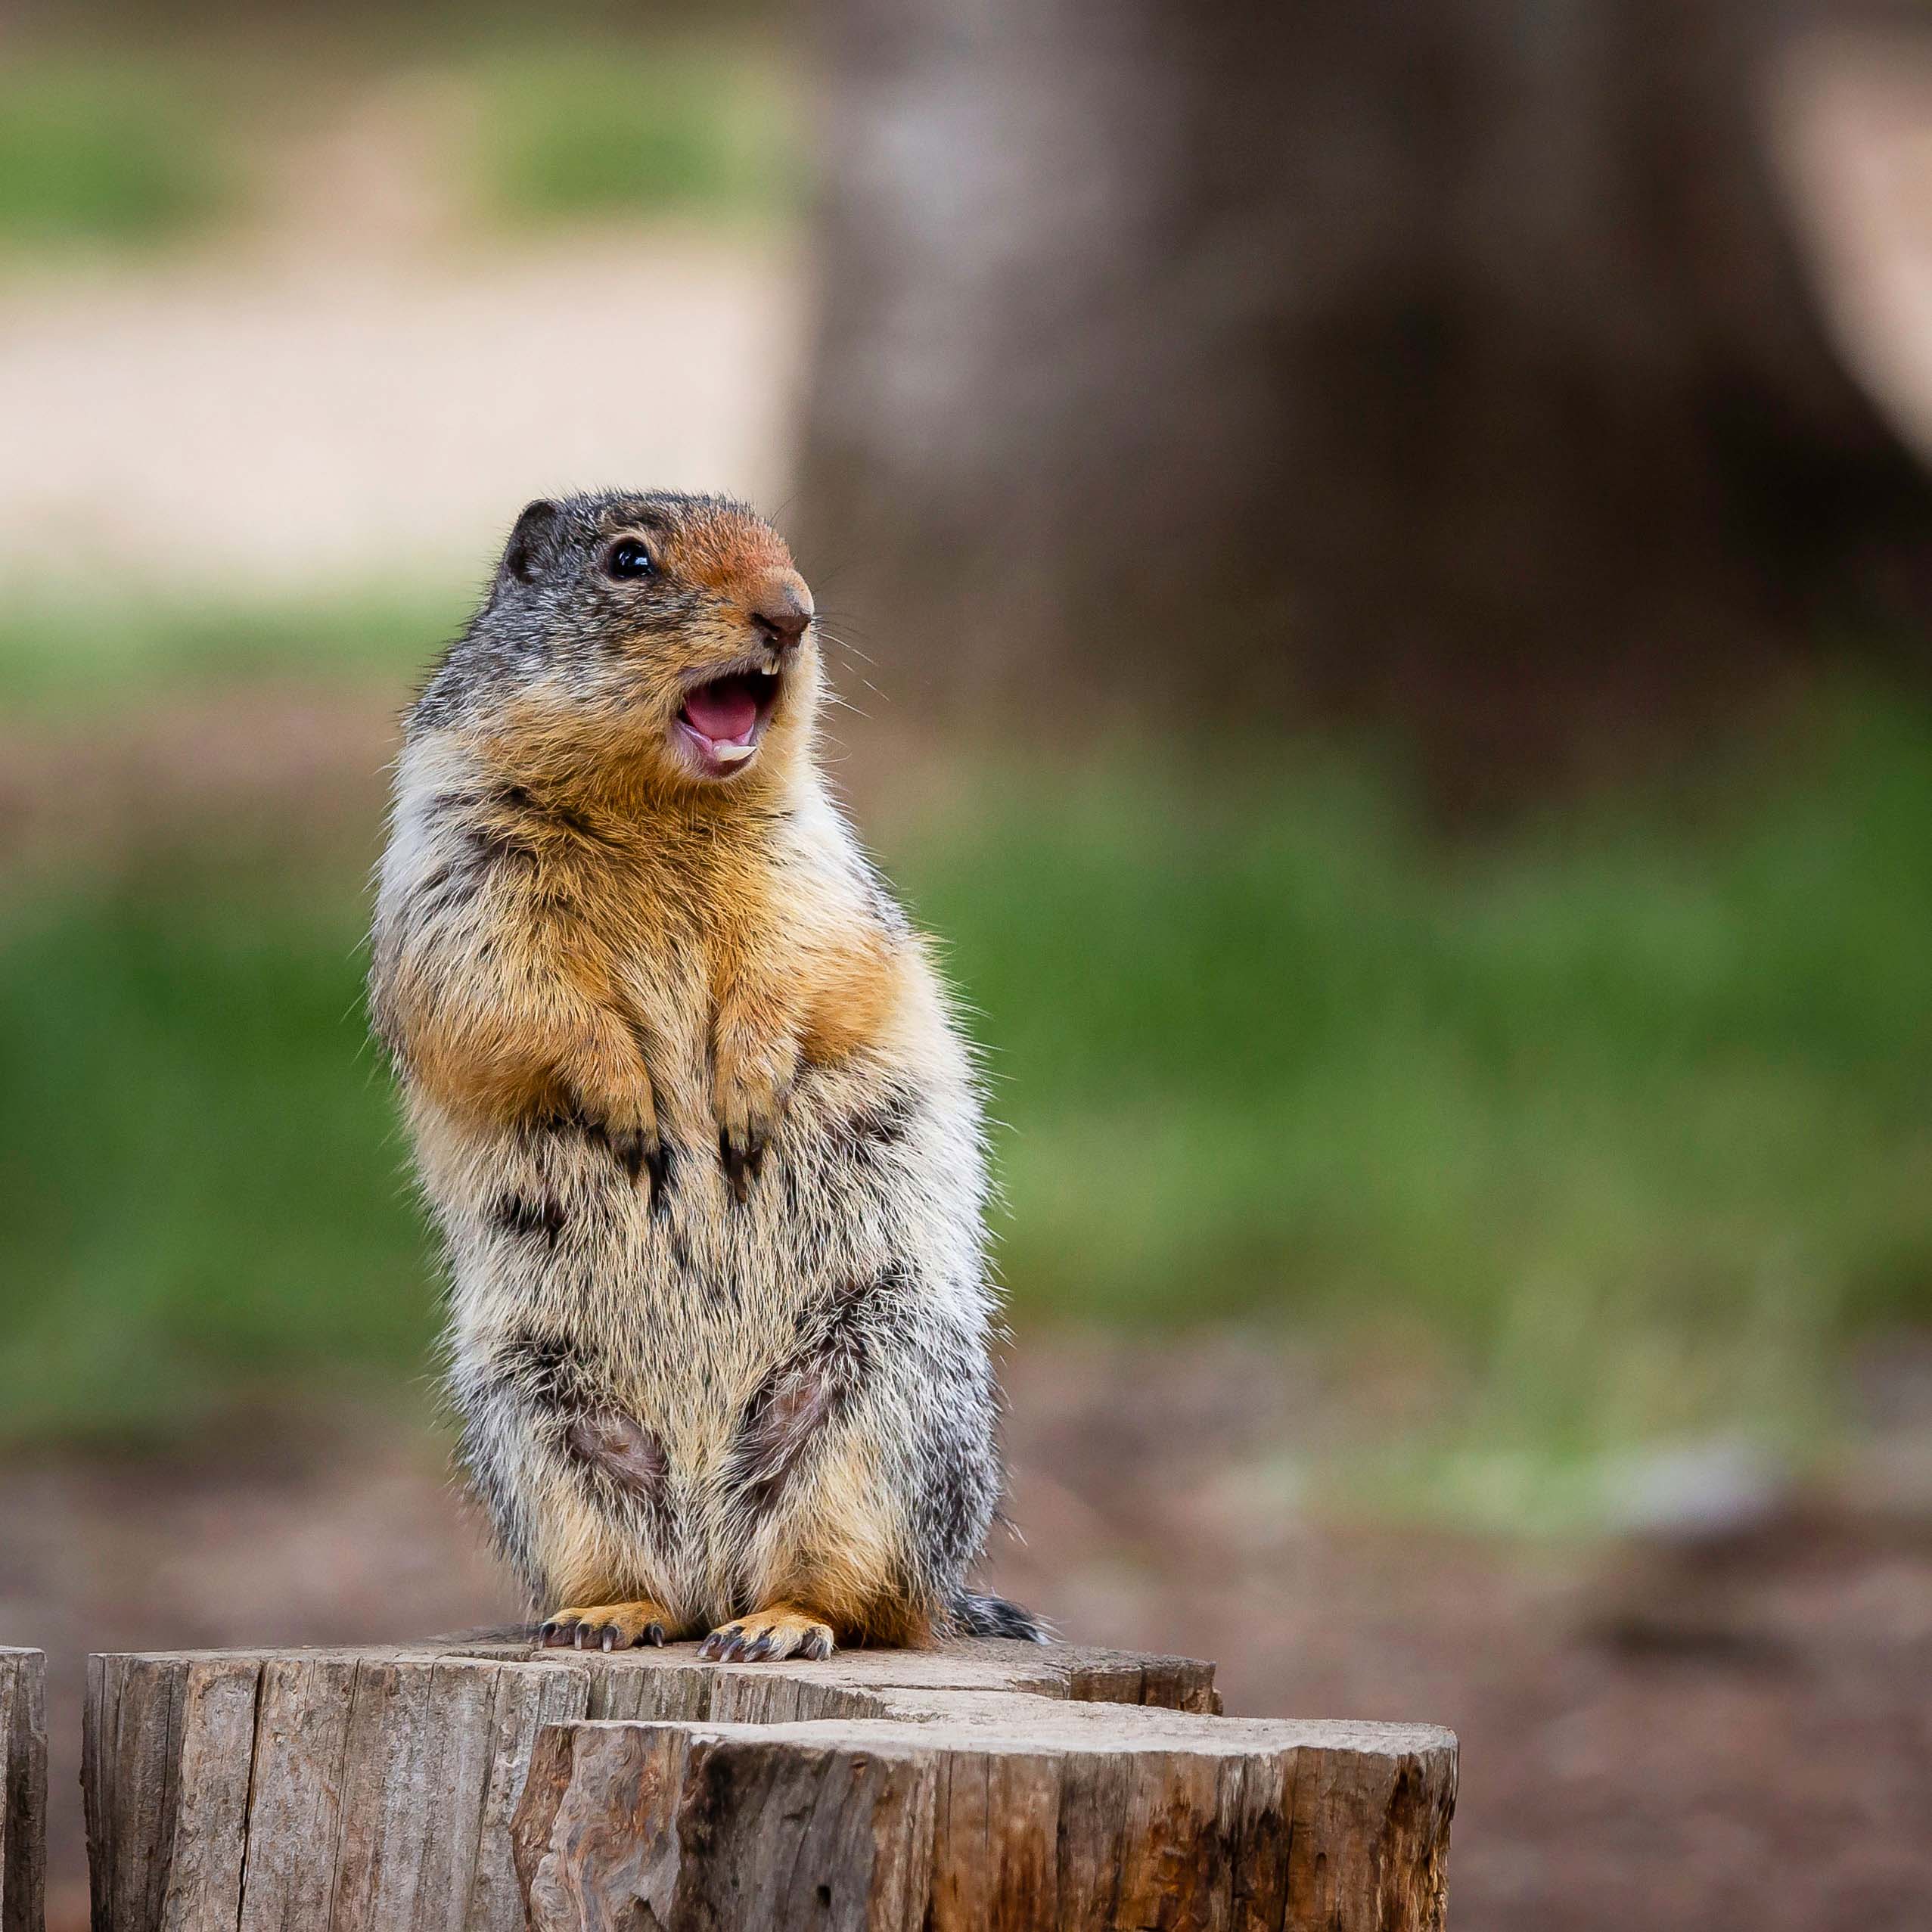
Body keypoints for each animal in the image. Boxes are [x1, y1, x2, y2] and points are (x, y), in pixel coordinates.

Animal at [372, 490, 1043, 1654]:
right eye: (628, 560)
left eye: (784, 548)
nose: (794, 611)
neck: (657, 805)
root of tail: (712, 1554)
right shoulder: (457, 864)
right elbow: (505, 993)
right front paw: (628, 1100)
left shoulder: (809, 864)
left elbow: (806, 960)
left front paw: (743, 1087)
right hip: (537, 1417)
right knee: (644, 1575)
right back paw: (609, 1613)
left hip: (882, 1389)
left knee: (865, 1598)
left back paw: (780, 1623)